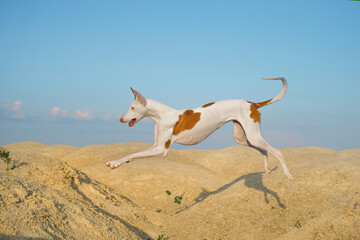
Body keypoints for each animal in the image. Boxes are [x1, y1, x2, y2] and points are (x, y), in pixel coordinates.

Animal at [106, 78, 292, 179]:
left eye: (132, 108)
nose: (121, 119)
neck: (162, 115)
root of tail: (252, 103)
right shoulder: (155, 146)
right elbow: (132, 155)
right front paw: (117, 162)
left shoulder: (161, 149)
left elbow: (134, 153)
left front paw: (115, 163)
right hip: (242, 138)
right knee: (264, 150)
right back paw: (267, 170)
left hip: (253, 136)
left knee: (278, 151)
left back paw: (288, 174)